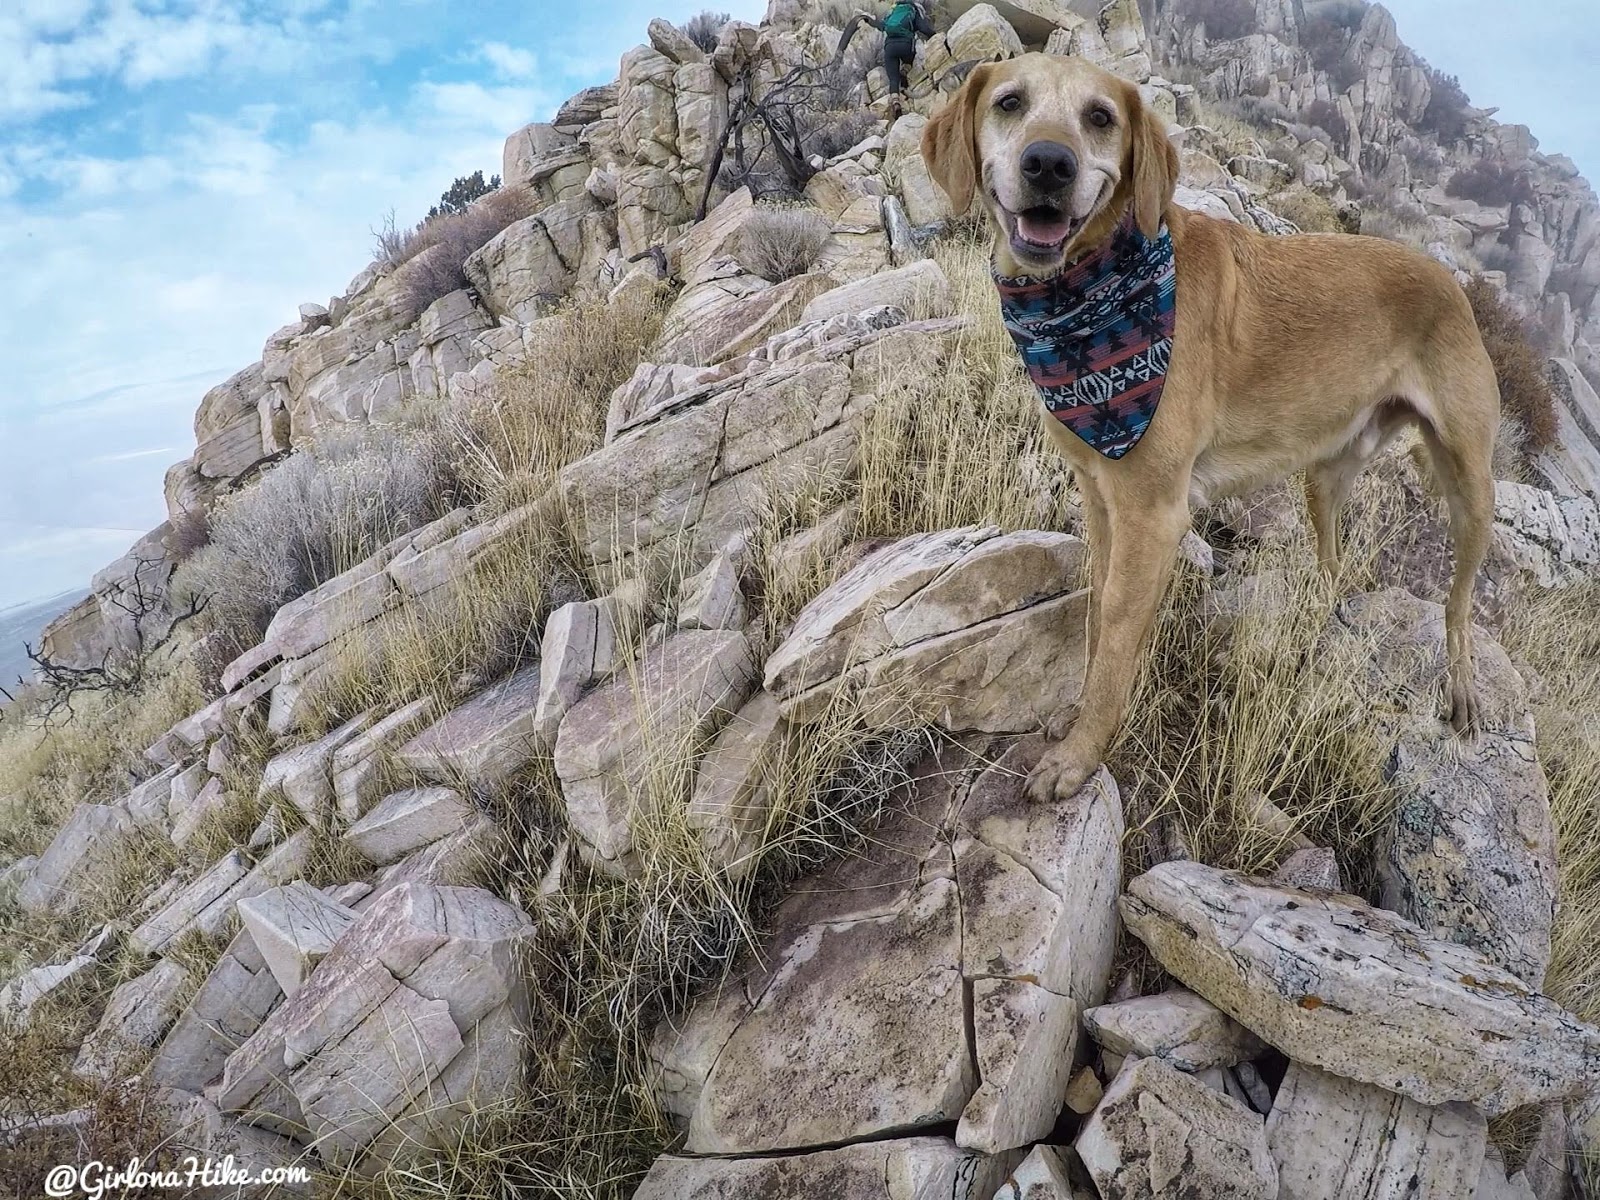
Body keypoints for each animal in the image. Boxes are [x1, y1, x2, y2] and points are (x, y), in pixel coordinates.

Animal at [928, 56, 1497, 809]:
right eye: (1009, 103)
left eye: (1100, 117)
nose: (1048, 163)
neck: (1086, 298)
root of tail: (1455, 282)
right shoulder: (1101, 497)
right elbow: (1098, 610)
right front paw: (1077, 712)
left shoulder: (1153, 513)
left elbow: (1116, 628)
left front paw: (1080, 755)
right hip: (1324, 475)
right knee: (1332, 567)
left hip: (1471, 485)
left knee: (1459, 606)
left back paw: (1461, 689)